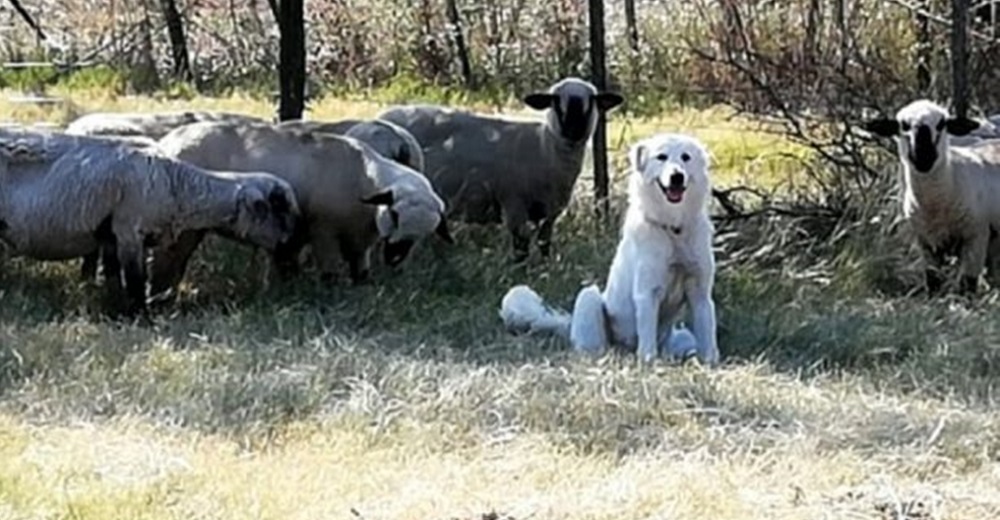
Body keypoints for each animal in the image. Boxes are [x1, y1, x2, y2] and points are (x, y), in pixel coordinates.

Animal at [0, 129, 300, 316]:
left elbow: (113, 276)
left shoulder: (112, 237)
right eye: (280, 208)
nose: (290, 245)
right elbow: (135, 279)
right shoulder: (129, 231)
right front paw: (140, 316)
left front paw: (116, 310)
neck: (177, 185)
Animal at [380, 76, 624, 264]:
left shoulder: (551, 211)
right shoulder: (514, 203)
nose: (573, 129)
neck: (545, 147)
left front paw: (546, 269)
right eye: (555, 102)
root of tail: (384, 117)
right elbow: (521, 245)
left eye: (591, 101)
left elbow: (545, 243)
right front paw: (522, 273)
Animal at [498, 132, 720, 364]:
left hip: (684, 337)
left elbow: (707, 334)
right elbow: (647, 339)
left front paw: (710, 363)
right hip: (589, 297)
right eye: (662, 157)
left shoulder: (700, 294)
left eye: (685, 157)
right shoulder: (647, 292)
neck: (673, 228)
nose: (677, 176)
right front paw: (648, 363)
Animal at [860, 97, 1000, 292]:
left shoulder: (976, 237)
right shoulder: (926, 243)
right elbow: (933, 282)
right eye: (903, 125)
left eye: (942, 124)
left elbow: (967, 285)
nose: (923, 157)